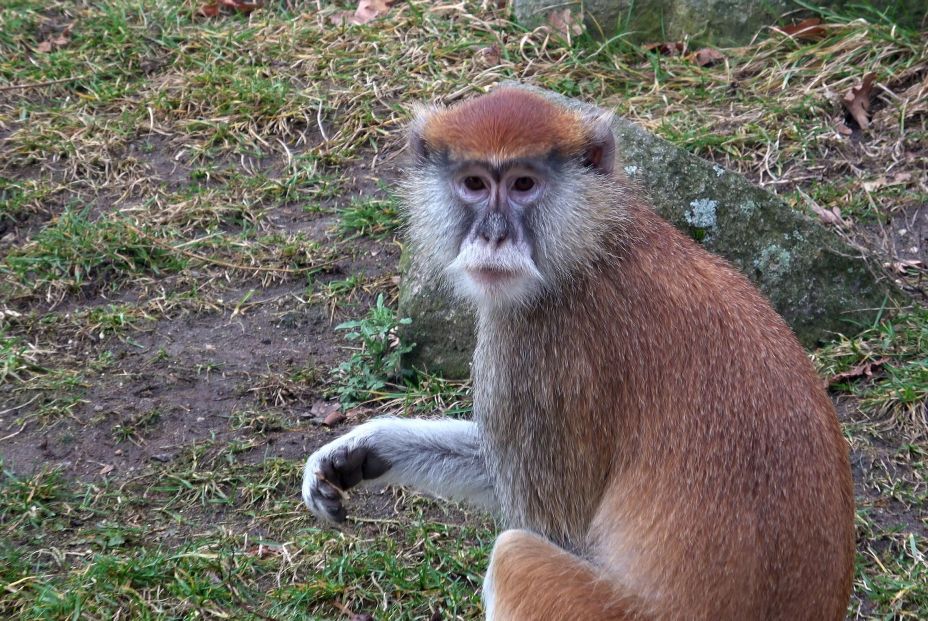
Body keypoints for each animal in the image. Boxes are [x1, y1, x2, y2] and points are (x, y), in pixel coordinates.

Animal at [302, 87, 855, 620]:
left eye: (524, 184)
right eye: (474, 184)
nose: (494, 236)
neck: (595, 244)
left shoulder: (540, 342)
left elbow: (556, 525)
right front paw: (361, 450)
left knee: (515, 556)